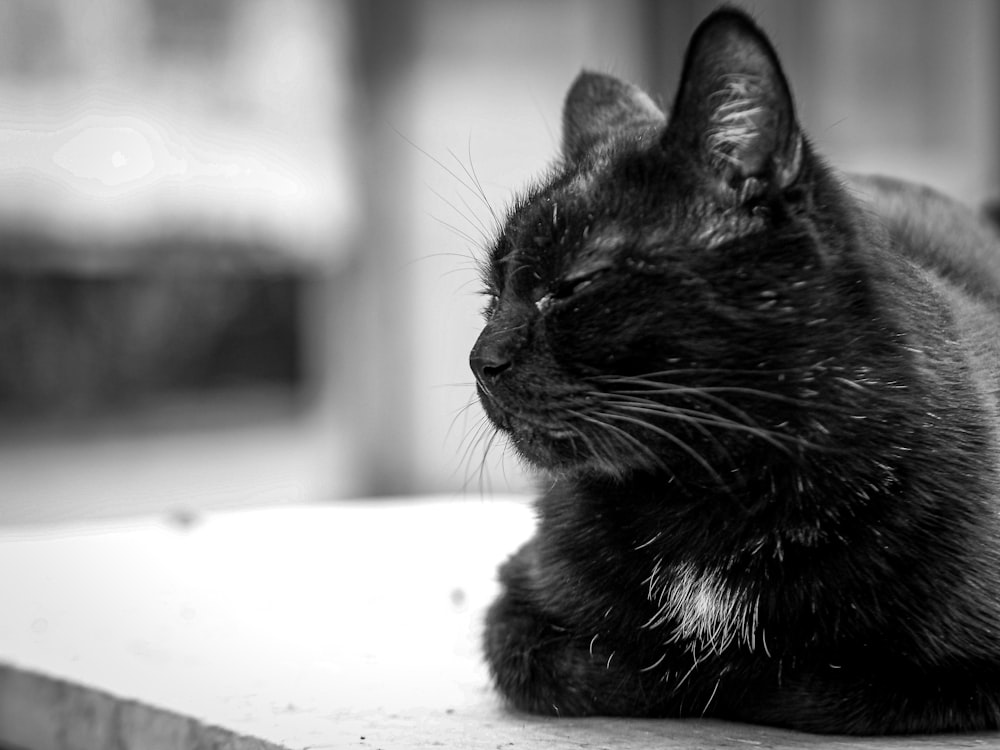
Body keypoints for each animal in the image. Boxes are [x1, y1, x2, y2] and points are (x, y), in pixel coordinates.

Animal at [468, 2, 1000, 736]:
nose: (481, 359)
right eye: (493, 294)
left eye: (574, 284)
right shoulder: (517, 609)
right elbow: (595, 668)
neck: (712, 496)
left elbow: (809, 682)